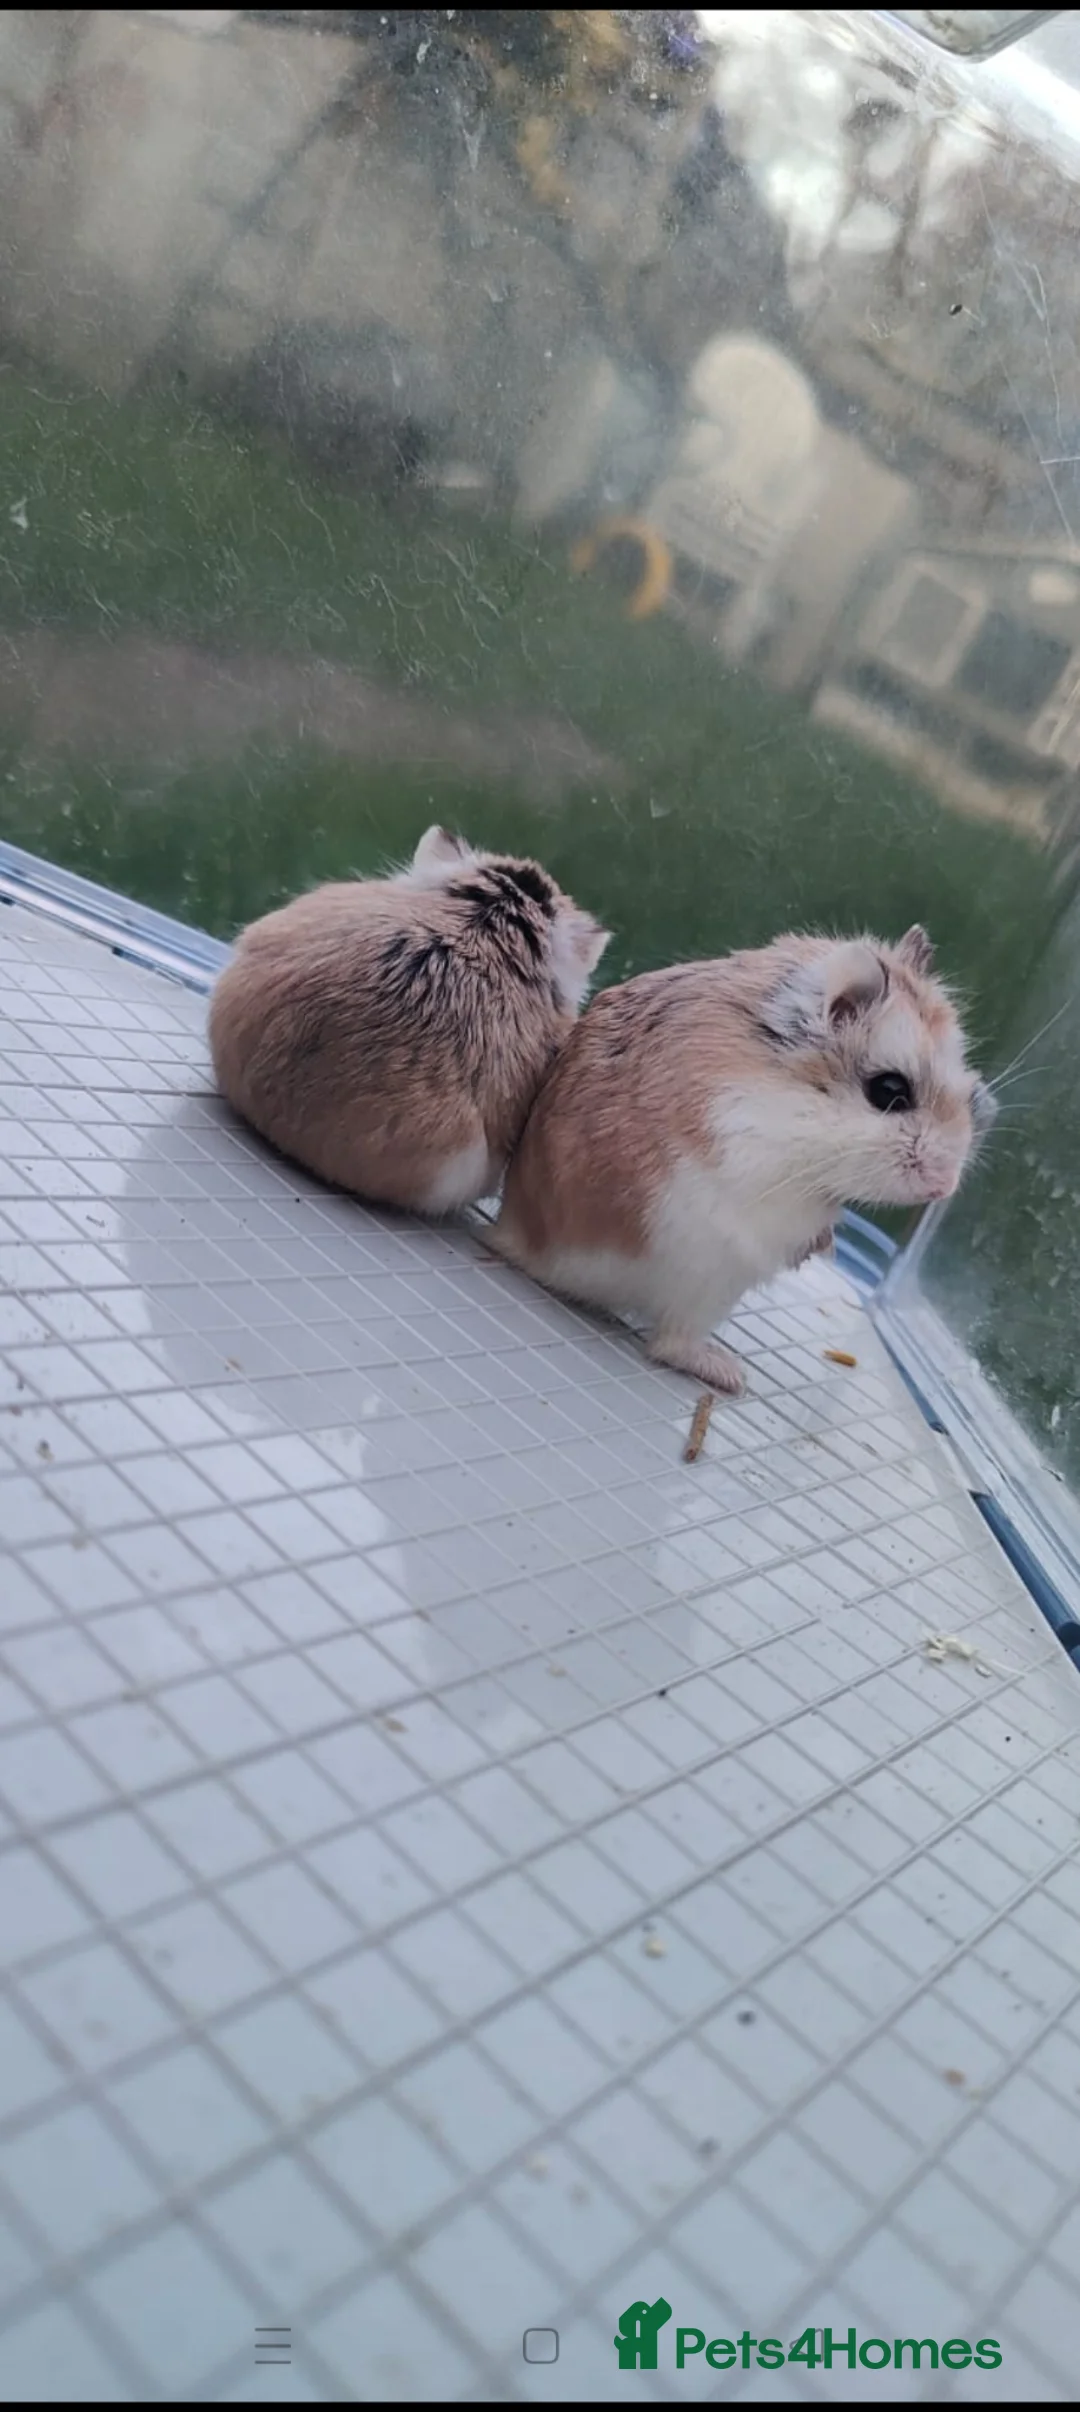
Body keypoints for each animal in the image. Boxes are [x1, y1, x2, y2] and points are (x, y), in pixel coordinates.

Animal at [493, 926, 995, 1395]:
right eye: (890, 1091)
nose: (944, 1187)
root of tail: (514, 1237)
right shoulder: (755, 1151)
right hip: (709, 1277)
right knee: (670, 1344)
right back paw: (731, 1375)